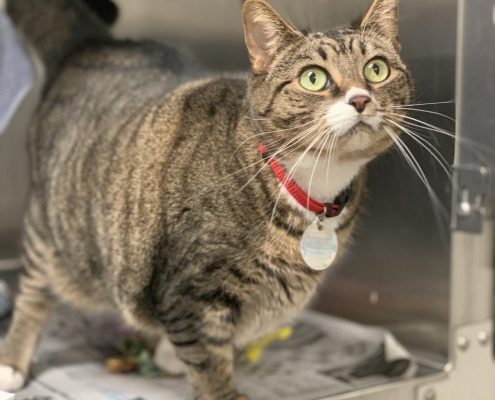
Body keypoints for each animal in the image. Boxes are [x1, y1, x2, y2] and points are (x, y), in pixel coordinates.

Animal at [0, 0, 410, 398]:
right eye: (314, 77)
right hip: (48, 226)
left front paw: (174, 354)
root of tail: (92, 44)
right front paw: (220, 388)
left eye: (376, 70)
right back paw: (13, 362)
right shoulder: (192, 294)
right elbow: (210, 363)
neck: (311, 189)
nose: (361, 99)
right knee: (34, 293)